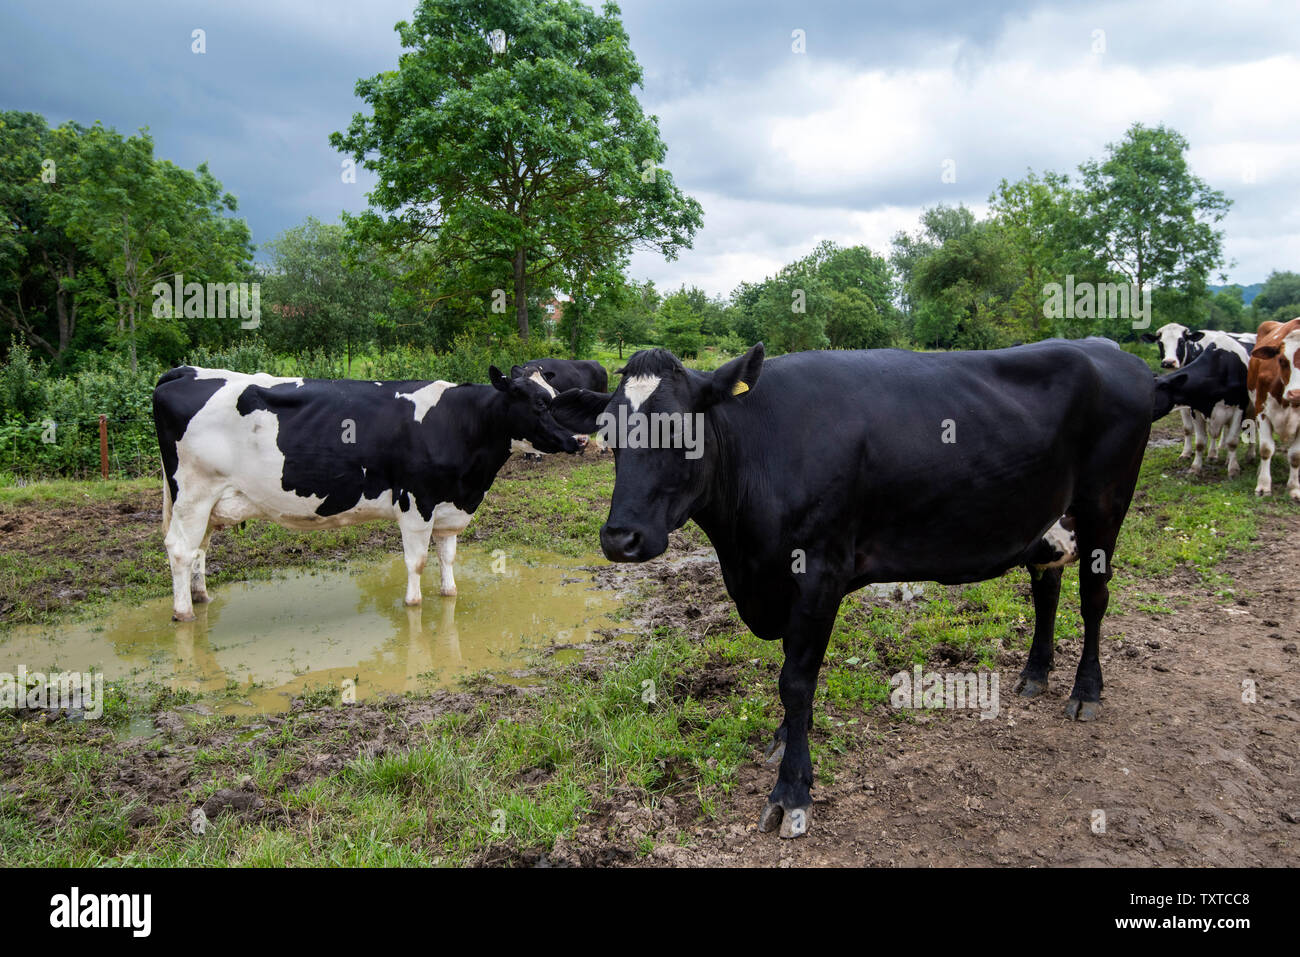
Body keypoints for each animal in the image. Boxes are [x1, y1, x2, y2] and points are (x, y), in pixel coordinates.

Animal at [153, 365, 584, 622]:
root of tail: (184, 370)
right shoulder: (415, 501)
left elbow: (447, 557)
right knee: (180, 549)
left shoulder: (448, 507)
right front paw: (414, 605)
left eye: (556, 396)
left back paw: (201, 597)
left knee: (199, 549)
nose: (578, 439)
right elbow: (417, 562)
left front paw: (449, 594)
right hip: (193, 494)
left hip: (208, 502)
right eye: (540, 403)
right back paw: (183, 612)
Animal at [553, 340, 1153, 838]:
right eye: (608, 433)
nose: (620, 538)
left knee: (1093, 599)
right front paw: (786, 737)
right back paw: (1035, 674)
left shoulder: (821, 569)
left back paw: (1085, 690)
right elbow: (794, 672)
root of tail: (1110, 349)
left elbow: (796, 679)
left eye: (683, 432)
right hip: (1051, 519)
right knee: (1046, 586)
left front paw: (792, 791)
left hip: (1105, 507)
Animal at [1141, 323, 1256, 467]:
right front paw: (1186, 453)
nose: (1169, 362)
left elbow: (1214, 433)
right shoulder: (1188, 403)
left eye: (1182, 341)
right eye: (1160, 343)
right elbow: (1188, 428)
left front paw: (1213, 455)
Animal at [1247, 318, 1300, 500]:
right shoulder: (1262, 412)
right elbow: (1266, 449)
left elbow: (1295, 455)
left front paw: (1294, 488)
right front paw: (1263, 485)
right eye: (1282, 360)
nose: (1296, 394)